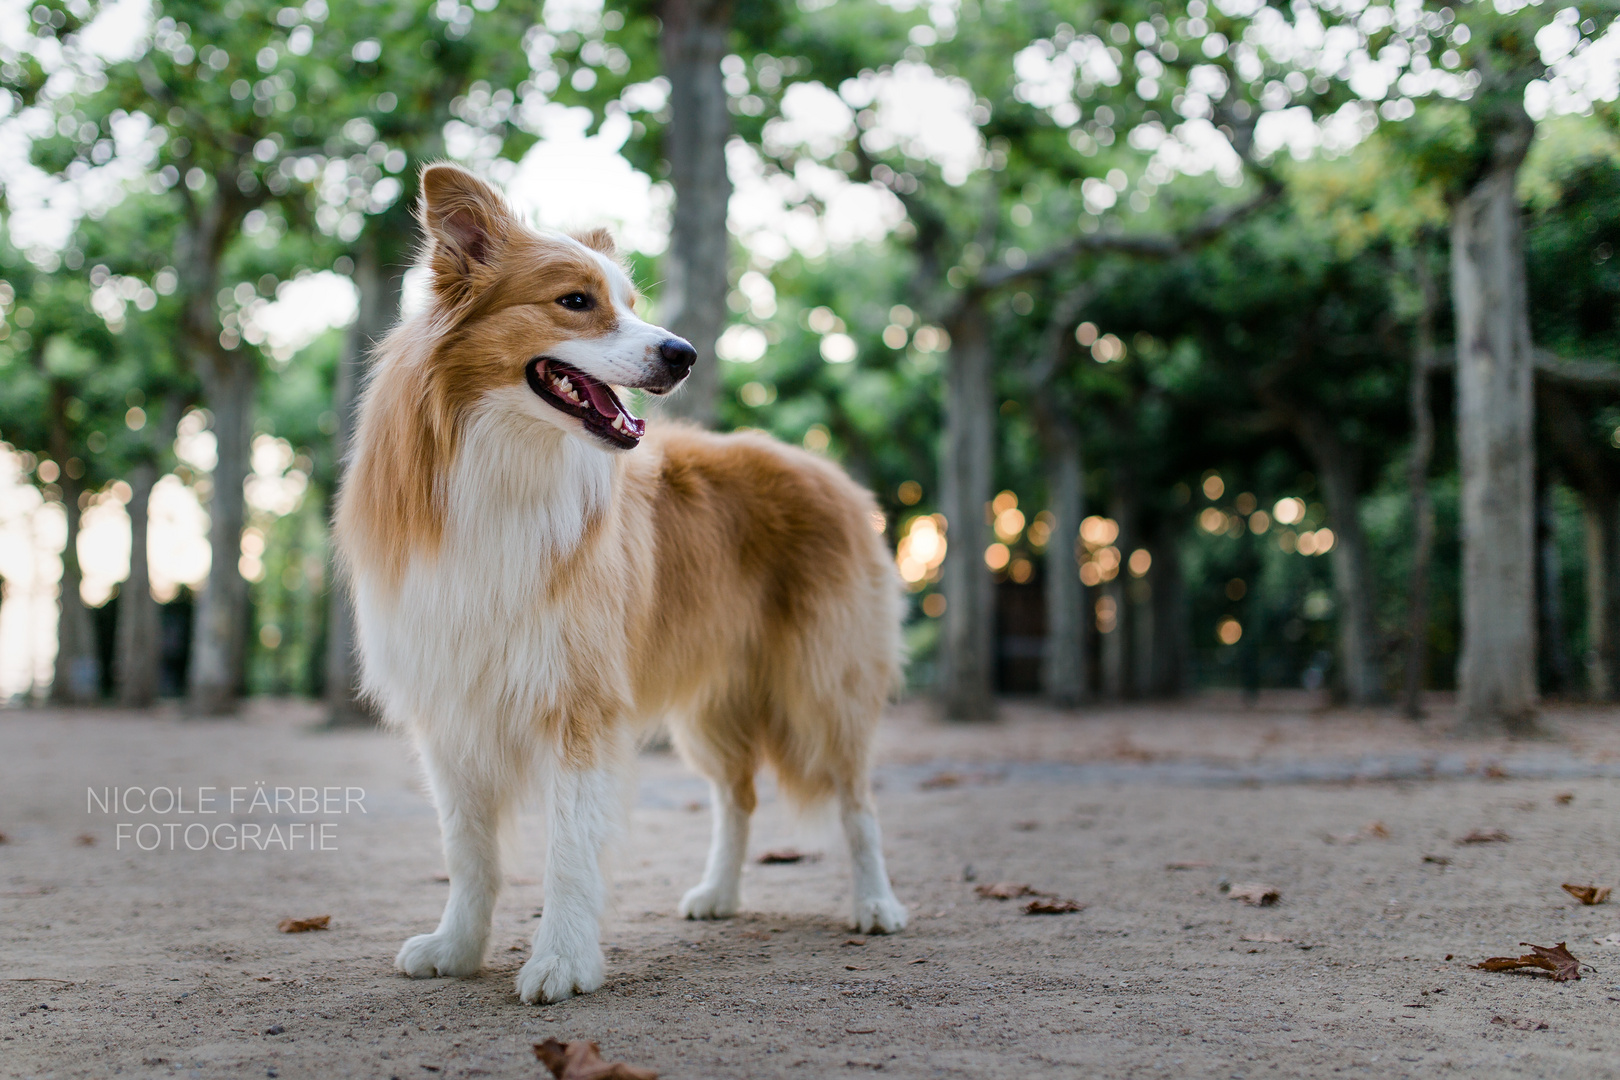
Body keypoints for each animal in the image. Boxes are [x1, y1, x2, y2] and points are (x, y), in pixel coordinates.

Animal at [333, 165, 907, 1010]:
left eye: (631, 304)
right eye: (576, 300)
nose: (685, 353)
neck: (505, 462)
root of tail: (826, 469)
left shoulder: (580, 697)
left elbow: (570, 849)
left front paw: (562, 962)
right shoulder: (453, 700)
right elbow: (468, 849)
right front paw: (458, 947)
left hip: (823, 681)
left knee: (857, 799)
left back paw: (876, 904)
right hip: (713, 703)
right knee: (738, 795)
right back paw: (719, 895)